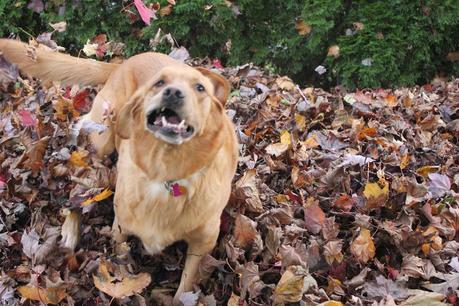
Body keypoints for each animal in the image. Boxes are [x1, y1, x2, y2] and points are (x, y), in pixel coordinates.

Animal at [0, 38, 237, 304]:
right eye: (159, 83)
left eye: (200, 88)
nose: (173, 93)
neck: (165, 172)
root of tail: (124, 63)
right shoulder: (120, 227)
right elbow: (118, 264)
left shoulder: (202, 244)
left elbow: (185, 286)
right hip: (101, 141)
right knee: (79, 187)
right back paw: (71, 229)